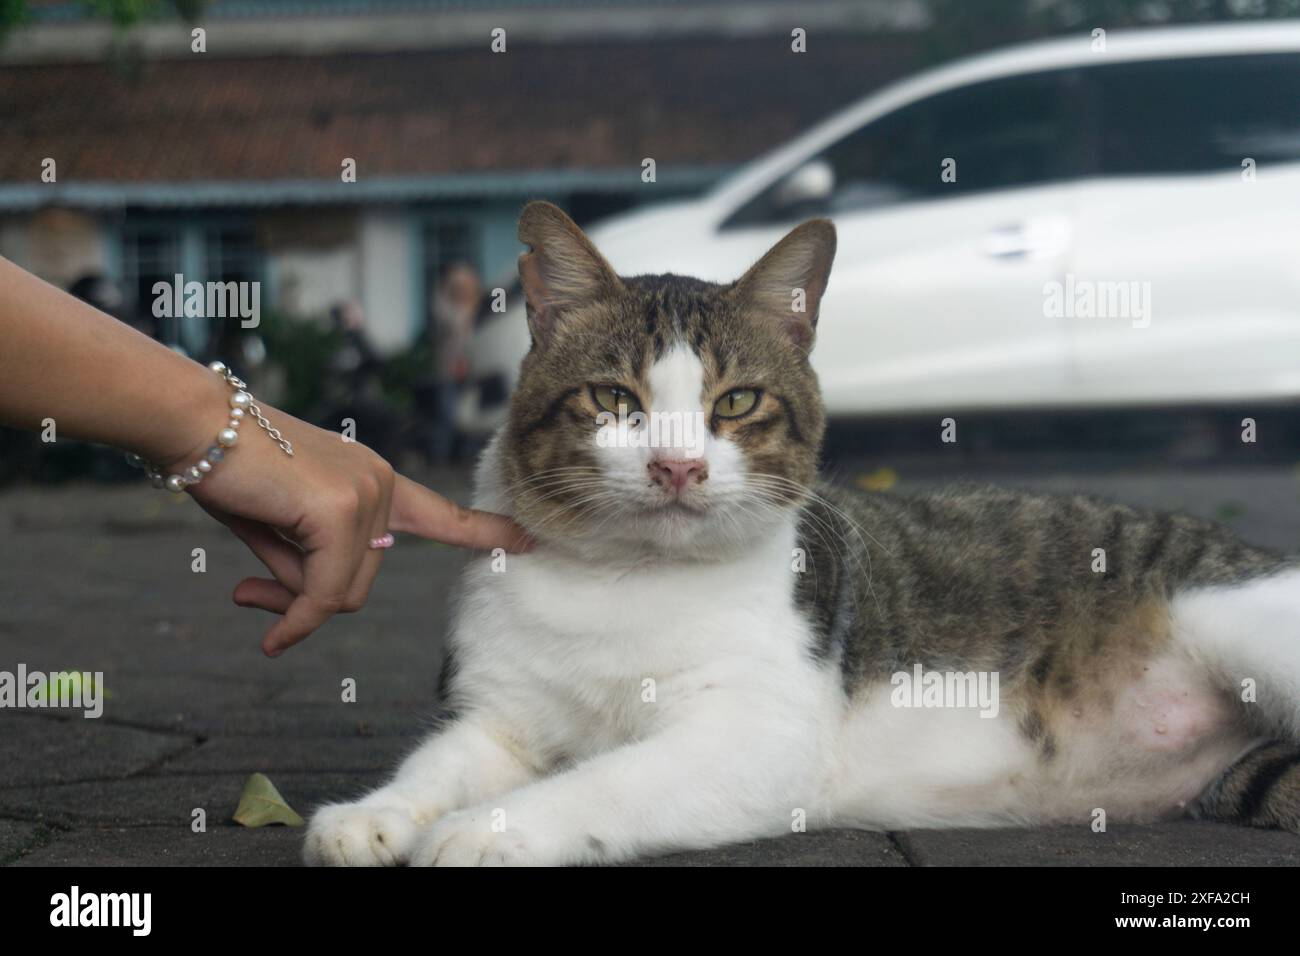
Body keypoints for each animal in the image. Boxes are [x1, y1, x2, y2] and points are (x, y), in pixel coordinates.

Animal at [301, 201, 1300, 868]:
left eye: (736, 402)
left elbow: (602, 779)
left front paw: (483, 831)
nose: (676, 467)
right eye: (616, 399)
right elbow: (443, 761)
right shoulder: (503, 718)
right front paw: (377, 813)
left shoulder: (756, 739)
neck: (624, 579)